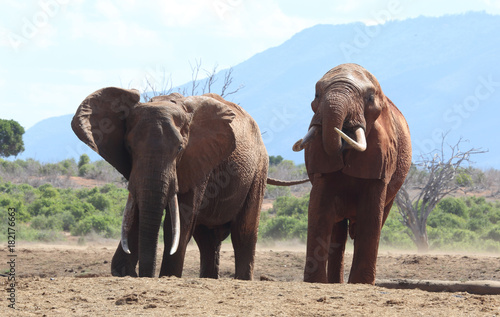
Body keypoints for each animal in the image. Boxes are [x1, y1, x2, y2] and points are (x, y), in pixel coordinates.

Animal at [72, 87, 306, 278]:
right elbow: (136, 212)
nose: (139, 273)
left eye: (179, 149)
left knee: (243, 232)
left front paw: (168, 276)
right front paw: (124, 270)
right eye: (128, 148)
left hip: (258, 169)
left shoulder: (200, 159)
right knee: (207, 240)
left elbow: (178, 221)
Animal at [292, 63, 410, 284]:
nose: (342, 133)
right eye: (316, 94)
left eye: (370, 98)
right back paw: (334, 282)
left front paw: (361, 283)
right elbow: (319, 208)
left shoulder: (382, 152)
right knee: (338, 231)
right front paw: (315, 282)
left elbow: (371, 213)